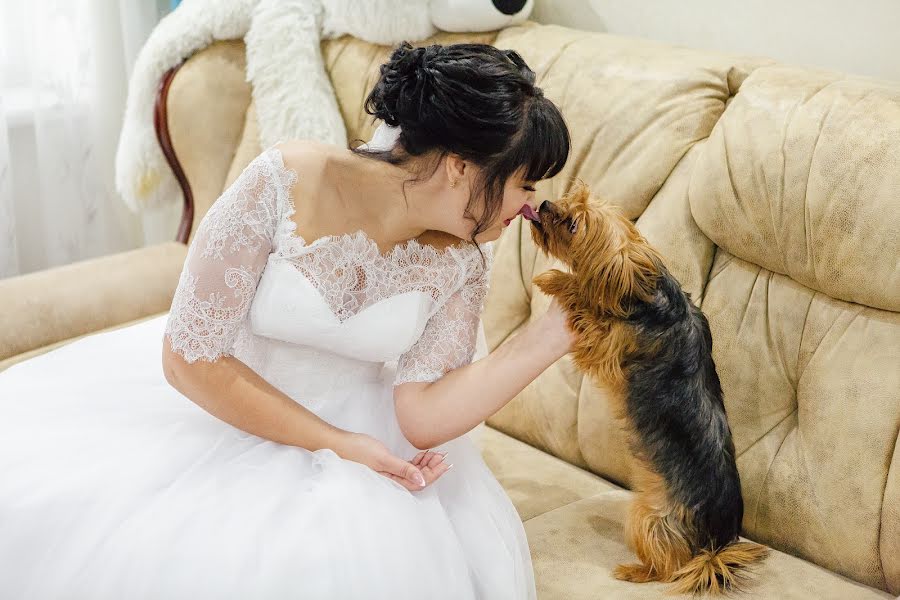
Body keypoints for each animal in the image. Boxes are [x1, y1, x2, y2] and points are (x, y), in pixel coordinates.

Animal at [524, 182, 768, 592]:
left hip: (649, 516)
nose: (543, 203)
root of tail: (714, 548)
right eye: (570, 199)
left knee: (669, 567)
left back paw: (636, 571)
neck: (645, 292)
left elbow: (585, 303)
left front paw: (557, 280)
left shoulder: (604, 343)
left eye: (573, 225)